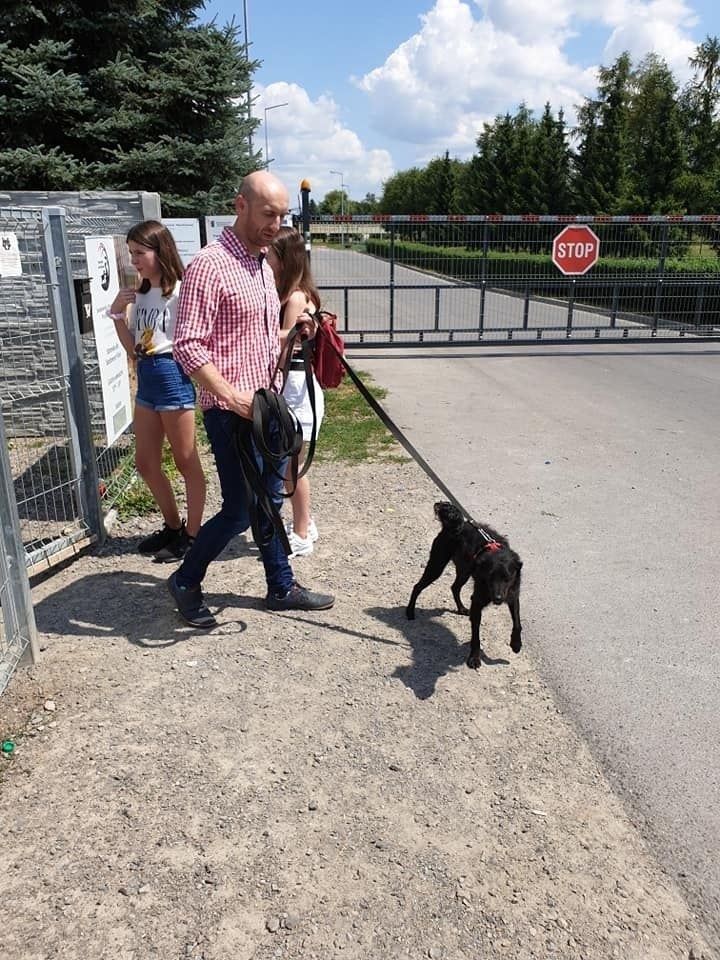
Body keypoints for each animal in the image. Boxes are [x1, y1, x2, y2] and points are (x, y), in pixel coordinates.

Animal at [404, 502, 524, 668]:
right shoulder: (477, 601)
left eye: (507, 577)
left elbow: (517, 623)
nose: (498, 599)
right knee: (417, 586)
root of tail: (456, 525)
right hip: (436, 566)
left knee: (454, 587)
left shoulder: (512, 595)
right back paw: (410, 611)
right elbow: (476, 636)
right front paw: (474, 658)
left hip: (464, 571)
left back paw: (461, 608)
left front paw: (516, 644)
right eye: (490, 576)